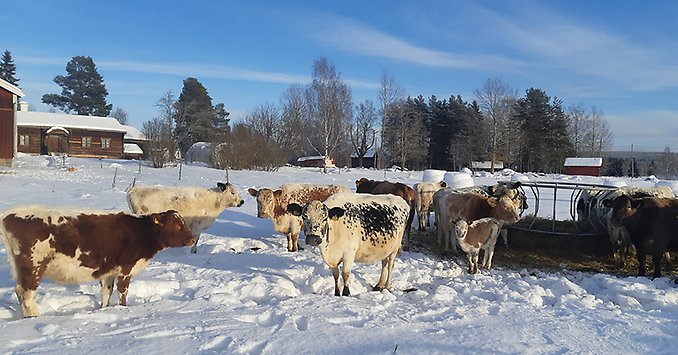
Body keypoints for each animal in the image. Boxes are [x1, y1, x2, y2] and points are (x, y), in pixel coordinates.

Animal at [0, 207, 197, 318]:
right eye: (176, 225)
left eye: (184, 222)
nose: (192, 239)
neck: (140, 231)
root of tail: (9, 214)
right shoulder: (125, 269)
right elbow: (123, 293)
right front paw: (123, 310)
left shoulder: (108, 271)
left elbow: (106, 293)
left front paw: (104, 310)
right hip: (33, 265)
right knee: (27, 294)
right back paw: (35, 317)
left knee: (19, 291)